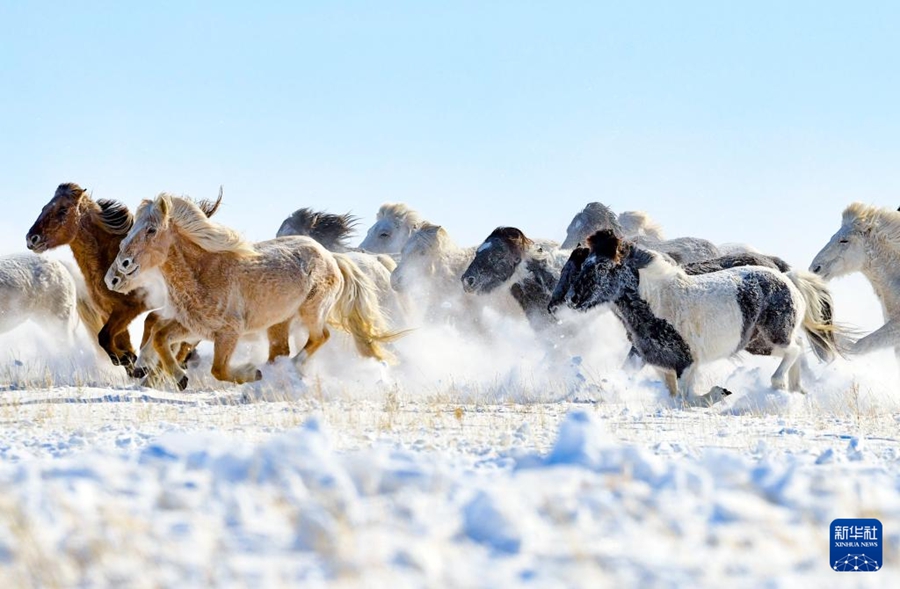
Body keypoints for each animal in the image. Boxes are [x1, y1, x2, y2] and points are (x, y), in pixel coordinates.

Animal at [26, 183, 220, 376]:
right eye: (44, 207)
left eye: (63, 210)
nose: (31, 238)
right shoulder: (107, 313)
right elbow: (113, 343)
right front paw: (130, 360)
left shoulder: (128, 309)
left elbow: (104, 337)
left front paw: (132, 362)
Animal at [104, 194, 395, 388]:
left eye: (151, 230)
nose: (118, 271)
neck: (204, 274)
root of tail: (331, 256)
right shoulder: (193, 327)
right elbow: (160, 337)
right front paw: (178, 377)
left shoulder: (228, 333)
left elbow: (219, 370)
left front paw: (250, 373)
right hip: (279, 323)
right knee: (283, 349)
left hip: (312, 311)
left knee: (320, 337)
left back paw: (288, 368)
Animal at [555, 230, 838, 400]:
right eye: (584, 264)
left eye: (602, 267)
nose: (572, 299)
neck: (659, 302)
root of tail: (787, 277)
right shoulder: (652, 359)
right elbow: (667, 393)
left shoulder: (687, 363)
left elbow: (688, 398)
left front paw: (719, 393)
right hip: (758, 343)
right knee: (797, 349)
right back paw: (796, 390)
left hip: (773, 335)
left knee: (795, 349)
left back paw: (779, 385)